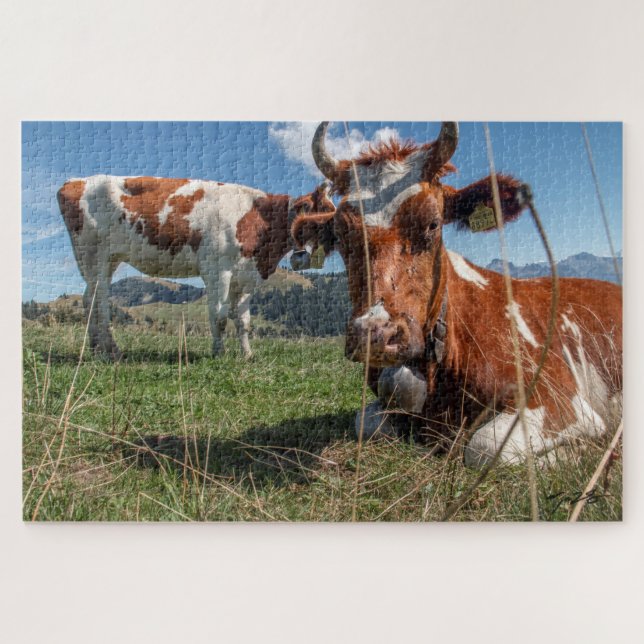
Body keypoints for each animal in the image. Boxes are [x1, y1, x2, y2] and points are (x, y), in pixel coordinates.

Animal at [57, 176, 335, 359]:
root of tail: (74, 182)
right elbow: (220, 316)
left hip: (107, 261)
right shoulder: (218, 270)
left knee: (88, 299)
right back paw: (112, 351)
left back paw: (95, 349)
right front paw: (218, 353)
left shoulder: (247, 275)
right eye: (316, 220)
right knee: (99, 302)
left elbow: (243, 319)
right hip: (94, 256)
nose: (304, 259)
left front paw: (247, 355)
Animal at [290, 121, 622, 467]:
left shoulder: (558, 396)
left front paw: (581, 451)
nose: (376, 334)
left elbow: (484, 448)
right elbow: (365, 423)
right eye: (342, 235)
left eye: (433, 224)